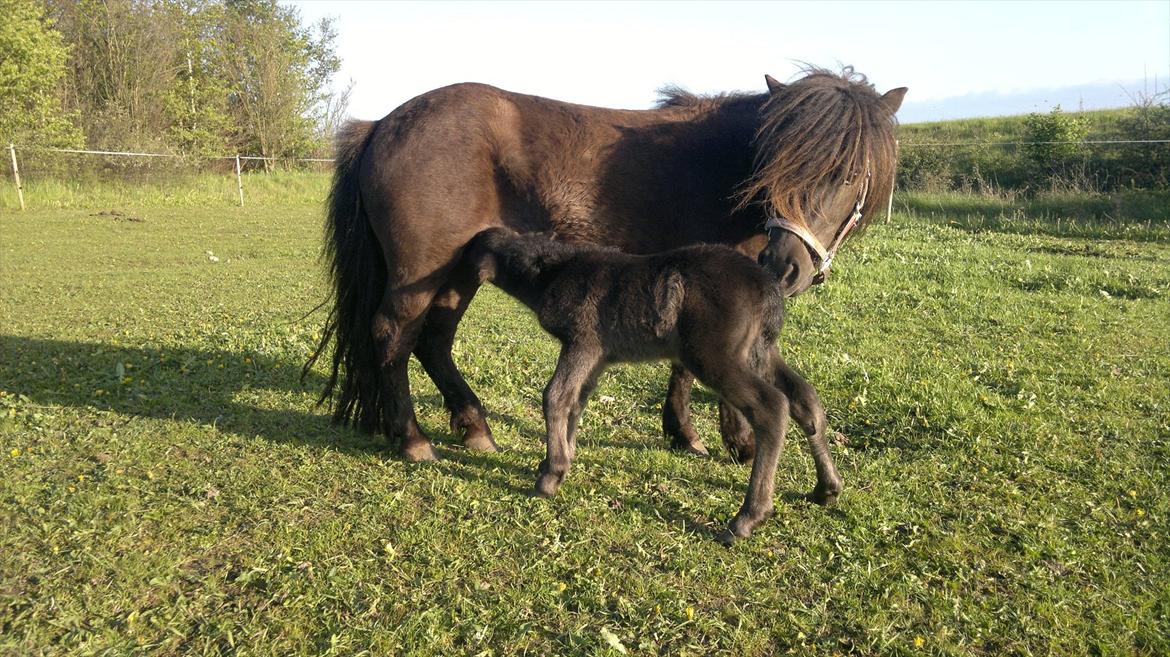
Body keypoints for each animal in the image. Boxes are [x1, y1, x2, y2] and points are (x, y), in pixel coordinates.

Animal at [304, 65, 903, 455]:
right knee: (393, 334)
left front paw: (683, 433)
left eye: (850, 173)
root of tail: (382, 124)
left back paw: (475, 428)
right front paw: (732, 441)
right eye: (779, 167)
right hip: (420, 272)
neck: (729, 170)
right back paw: (412, 440)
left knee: (433, 340)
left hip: (459, 270)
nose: (785, 265)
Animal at [463, 227, 842, 540]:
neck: (553, 272)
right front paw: (564, 458)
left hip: (714, 355)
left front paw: (550, 475)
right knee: (805, 400)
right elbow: (577, 400)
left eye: (467, 251)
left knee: (772, 408)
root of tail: (767, 289)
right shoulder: (598, 357)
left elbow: (556, 396)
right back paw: (826, 488)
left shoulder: (582, 342)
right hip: (759, 352)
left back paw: (747, 517)